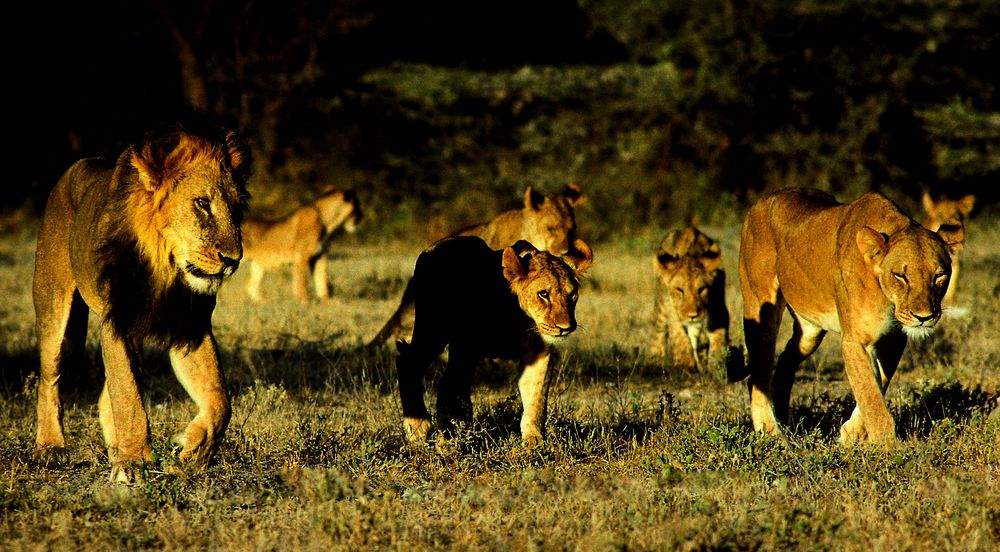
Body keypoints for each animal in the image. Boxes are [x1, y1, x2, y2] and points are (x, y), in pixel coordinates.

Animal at [35, 114, 254, 480]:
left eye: (237, 209)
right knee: (50, 378)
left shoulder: (190, 327)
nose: (232, 259)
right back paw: (50, 447)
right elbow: (128, 396)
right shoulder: (117, 320)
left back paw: (113, 449)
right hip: (54, 309)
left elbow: (220, 400)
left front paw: (193, 452)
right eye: (202, 203)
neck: (166, 269)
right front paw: (134, 463)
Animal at [392, 233, 592, 444]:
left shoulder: (538, 353)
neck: (519, 318)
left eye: (573, 295)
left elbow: (536, 397)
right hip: (432, 332)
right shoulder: (465, 346)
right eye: (543, 294)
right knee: (409, 364)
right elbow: (455, 391)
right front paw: (453, 437)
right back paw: (418, 427)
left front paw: (534, 439)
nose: (565, 327)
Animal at [648, 226, 728, 374]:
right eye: (680, 290)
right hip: (661, 306)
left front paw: (718, 365)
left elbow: (718, 336)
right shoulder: (672, 310)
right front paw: (685, 365)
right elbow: (679, 335)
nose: (693, 315)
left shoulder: (718, 305)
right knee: (658, 331)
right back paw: (655, 363)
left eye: (701, 289)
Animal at [744, 189, 960, 444]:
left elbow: (877, 384)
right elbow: (869, 393)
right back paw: (770, 432)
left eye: (939, 276)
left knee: (786, 359)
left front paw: (851, 434)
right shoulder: (855, 340)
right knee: (759, 372)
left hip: (809, 331)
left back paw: (785, 422)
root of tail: (762, 199)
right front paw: (887, 446)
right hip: (760, 307)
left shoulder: (893, 340)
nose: (924, 317)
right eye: (900, 276)